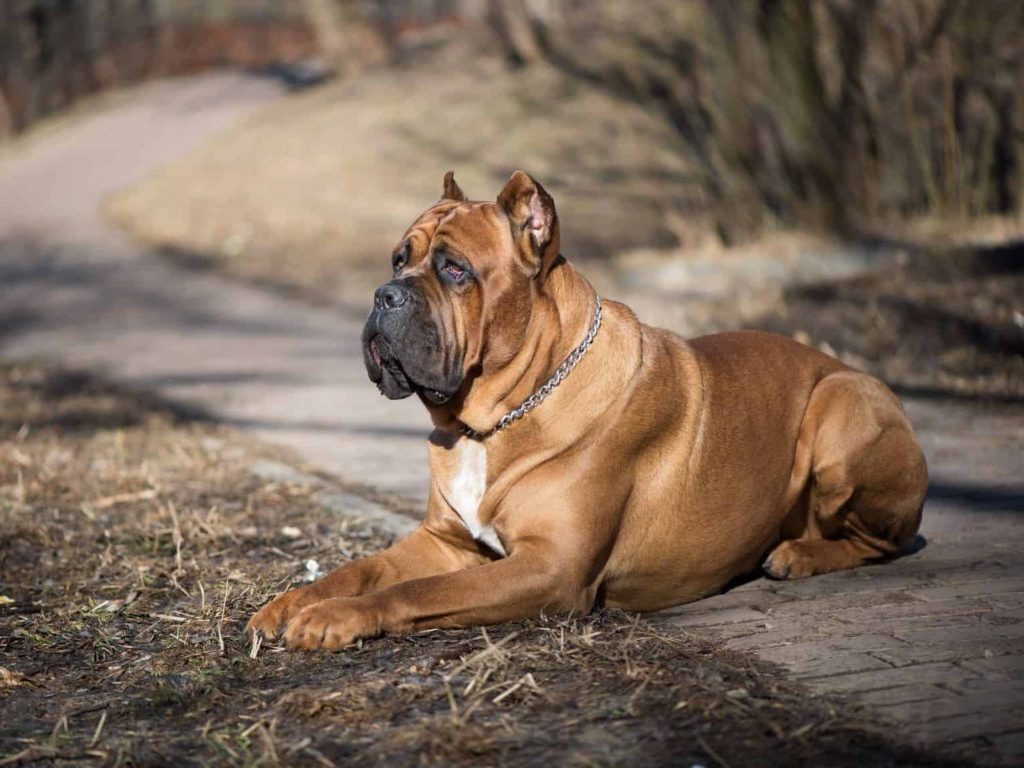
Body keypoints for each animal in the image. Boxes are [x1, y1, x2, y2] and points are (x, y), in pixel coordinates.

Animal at [247, 169, 929, 651]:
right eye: (398, 259)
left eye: (454, 270)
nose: (383, 295)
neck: (493, 421)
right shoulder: (443, 540)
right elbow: (361, 568)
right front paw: (294, 601)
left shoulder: (550, 567)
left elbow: (420, 590)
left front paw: (334, 617)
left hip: (839, 407)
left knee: (884, 542)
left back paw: (798, 554)